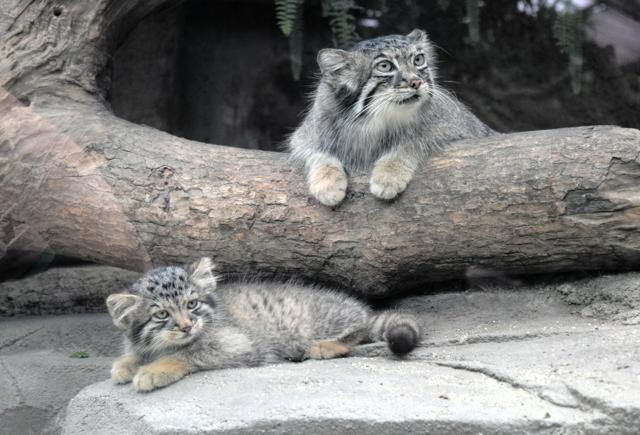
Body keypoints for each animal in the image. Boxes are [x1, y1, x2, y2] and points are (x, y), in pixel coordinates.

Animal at [107, 258, 422, 394]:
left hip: (322, 320)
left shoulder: (238, 344)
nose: (186, 326)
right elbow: (133, 352)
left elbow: (186, 354)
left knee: (357, 331)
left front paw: (153, 371)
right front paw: (125, 364)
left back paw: (323, 346)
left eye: (192, 304)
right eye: (161, 314)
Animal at [292, 29, 496, 206]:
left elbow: (411, 140)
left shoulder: (459, 127)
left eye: (418, 59)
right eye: (385, 66)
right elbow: (318, 152)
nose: (417, 82)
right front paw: (326, 183)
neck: (369, 121)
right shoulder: (305, 135)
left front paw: (388, 175)